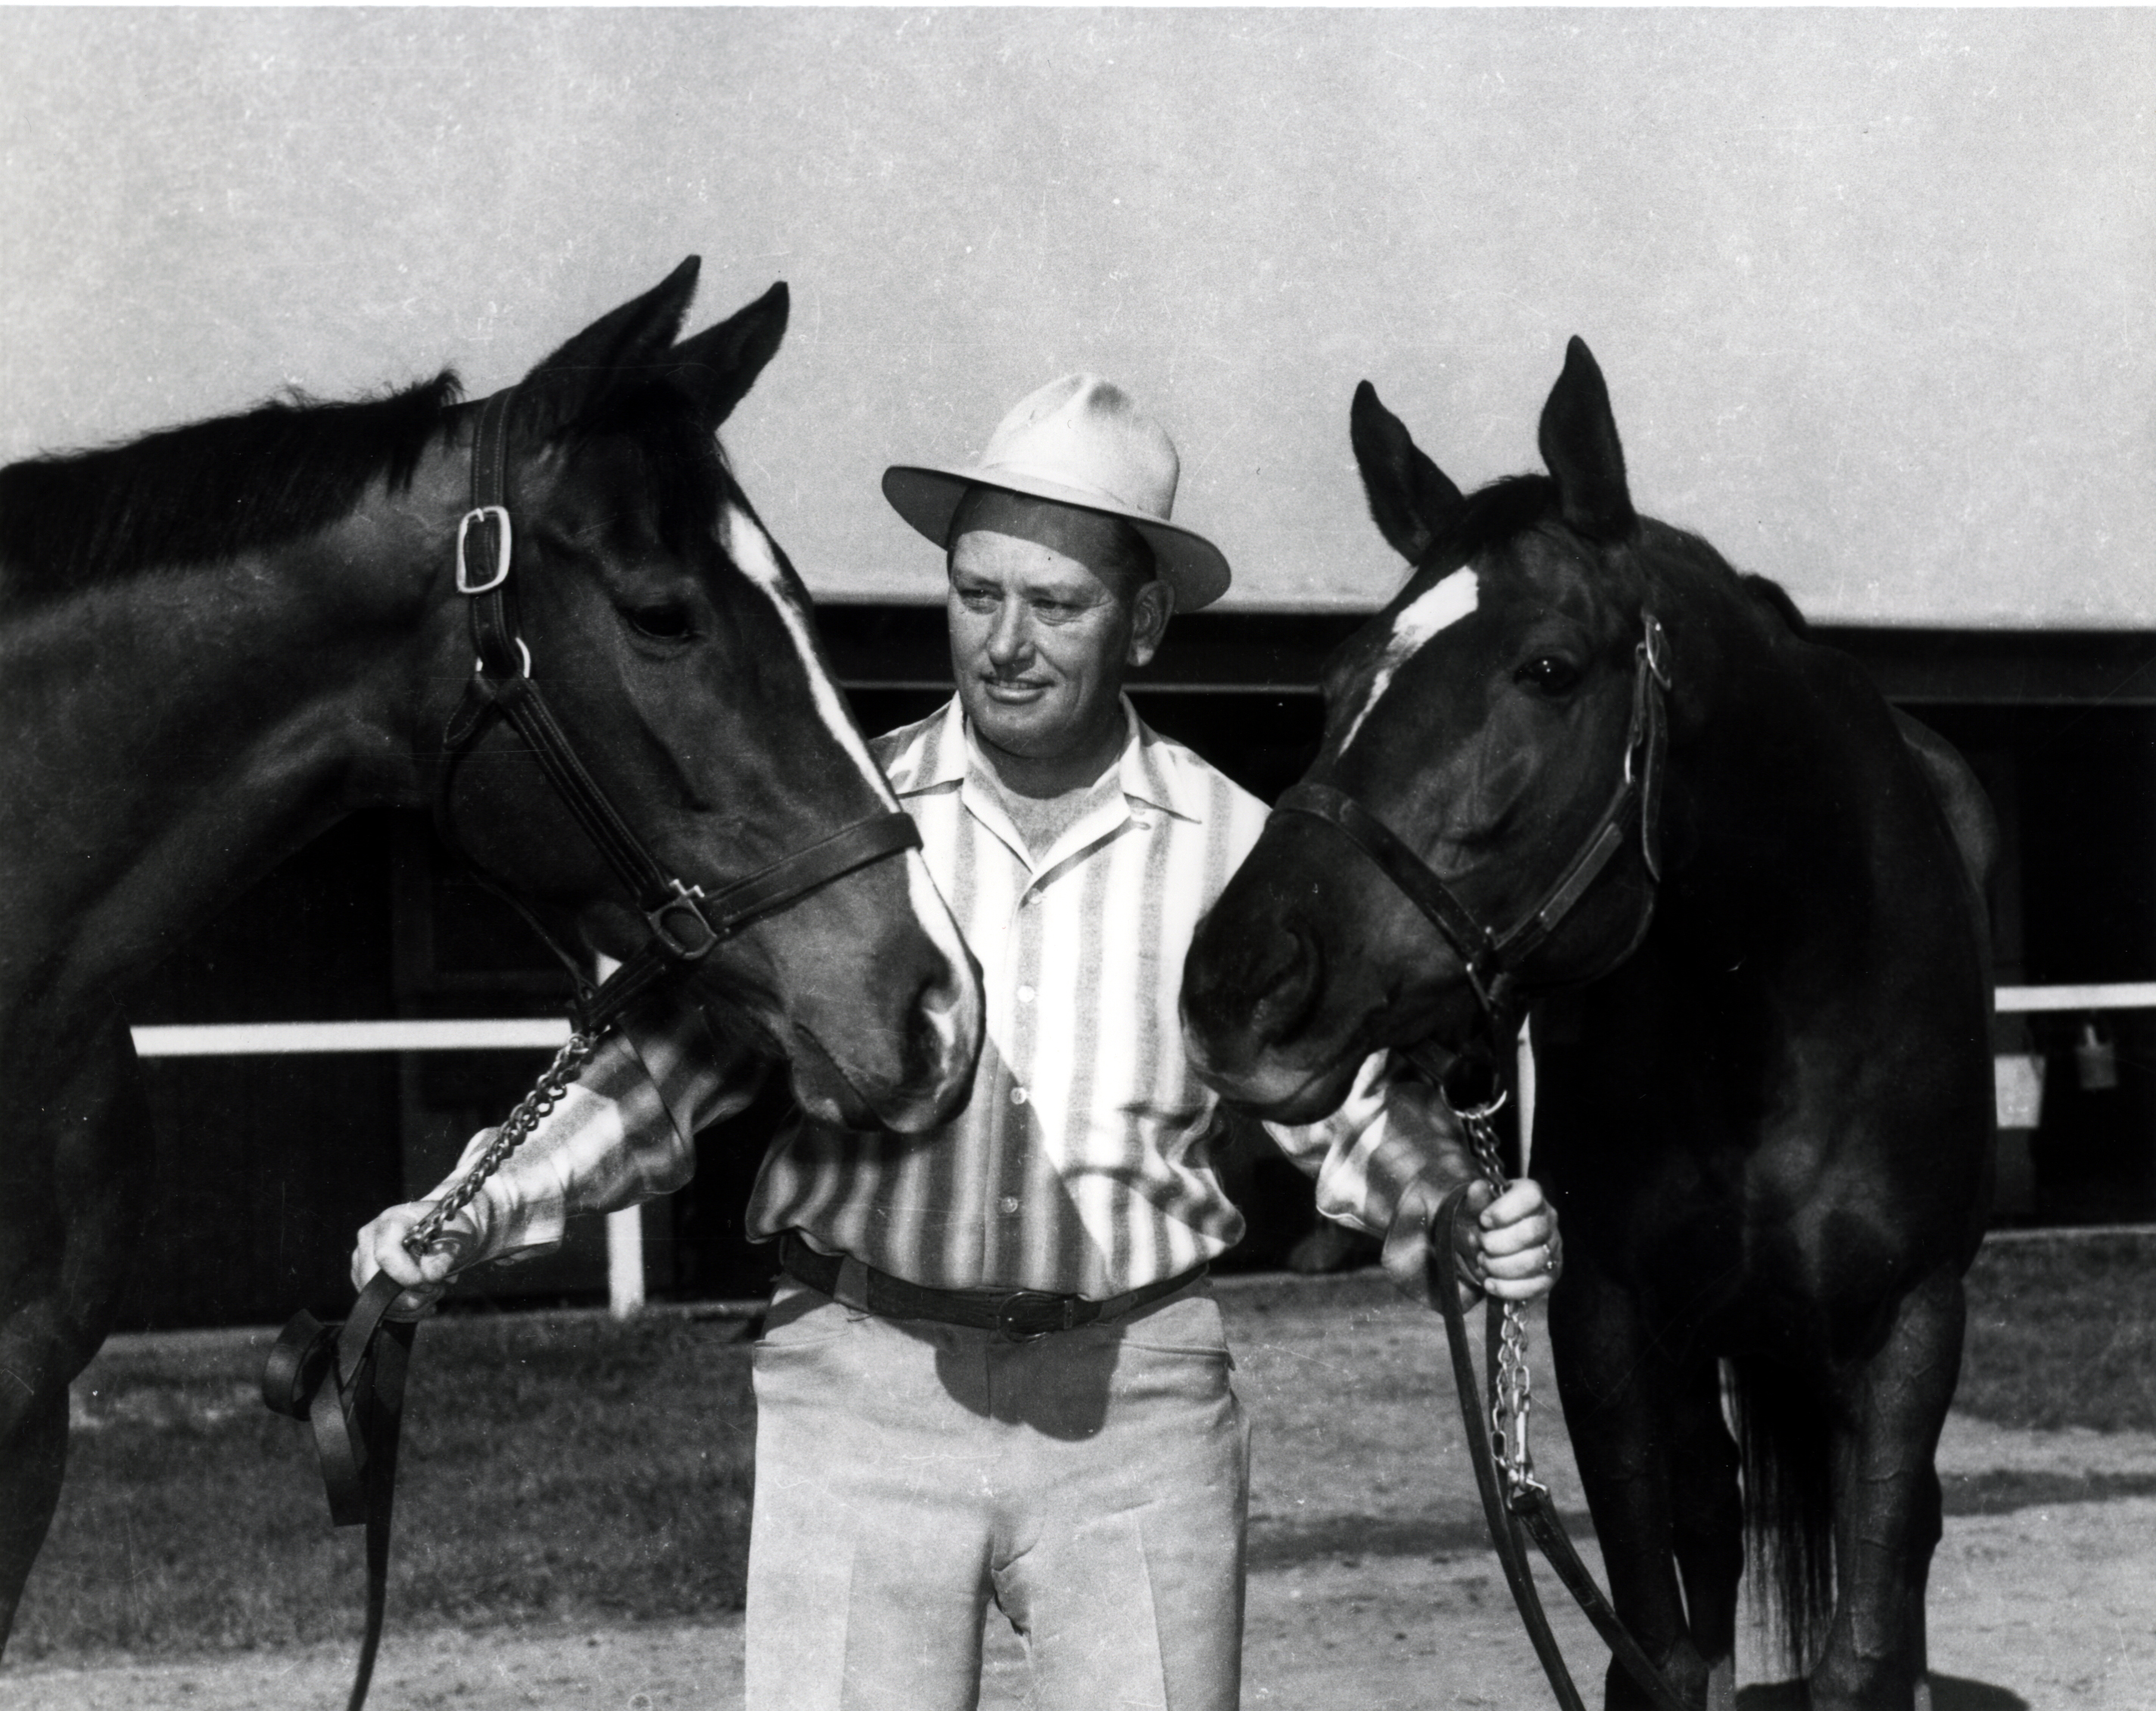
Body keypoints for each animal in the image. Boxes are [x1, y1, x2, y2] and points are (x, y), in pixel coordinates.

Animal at [1190, 340, 1992, 1697]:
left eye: (1550, 669)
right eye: (1340, 678)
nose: (1239, 986)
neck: (1771, 1004)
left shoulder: (1908, 1326)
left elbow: (1865, 1647)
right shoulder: (1608, 1326)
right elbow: (1655, 1654)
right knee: (1712, 1527)